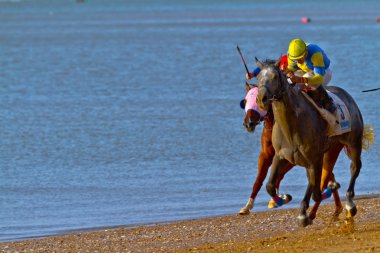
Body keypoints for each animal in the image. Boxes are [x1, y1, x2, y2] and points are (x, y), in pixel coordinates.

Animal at [240, 81, 344, 219]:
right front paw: (247, 206)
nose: (249, 123)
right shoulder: (266, 155)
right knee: (328, 174)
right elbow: (259, 180)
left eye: (257, 100)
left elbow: (279, 175)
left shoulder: (293, 156)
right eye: (245, 101)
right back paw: (336, 206)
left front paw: (280, 198)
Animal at [255, 57, 374, 227]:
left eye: (275, 77)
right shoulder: (281, 156)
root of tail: (346, 95)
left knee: (354, 167)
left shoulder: (312, 159)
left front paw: (303, 214)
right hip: (331, 150)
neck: (292, 127)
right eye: (258, 77)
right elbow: (270, 185)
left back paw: (350, 204)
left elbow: (315, 190)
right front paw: (283, 198)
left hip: (354, 142)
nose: (261, 99)